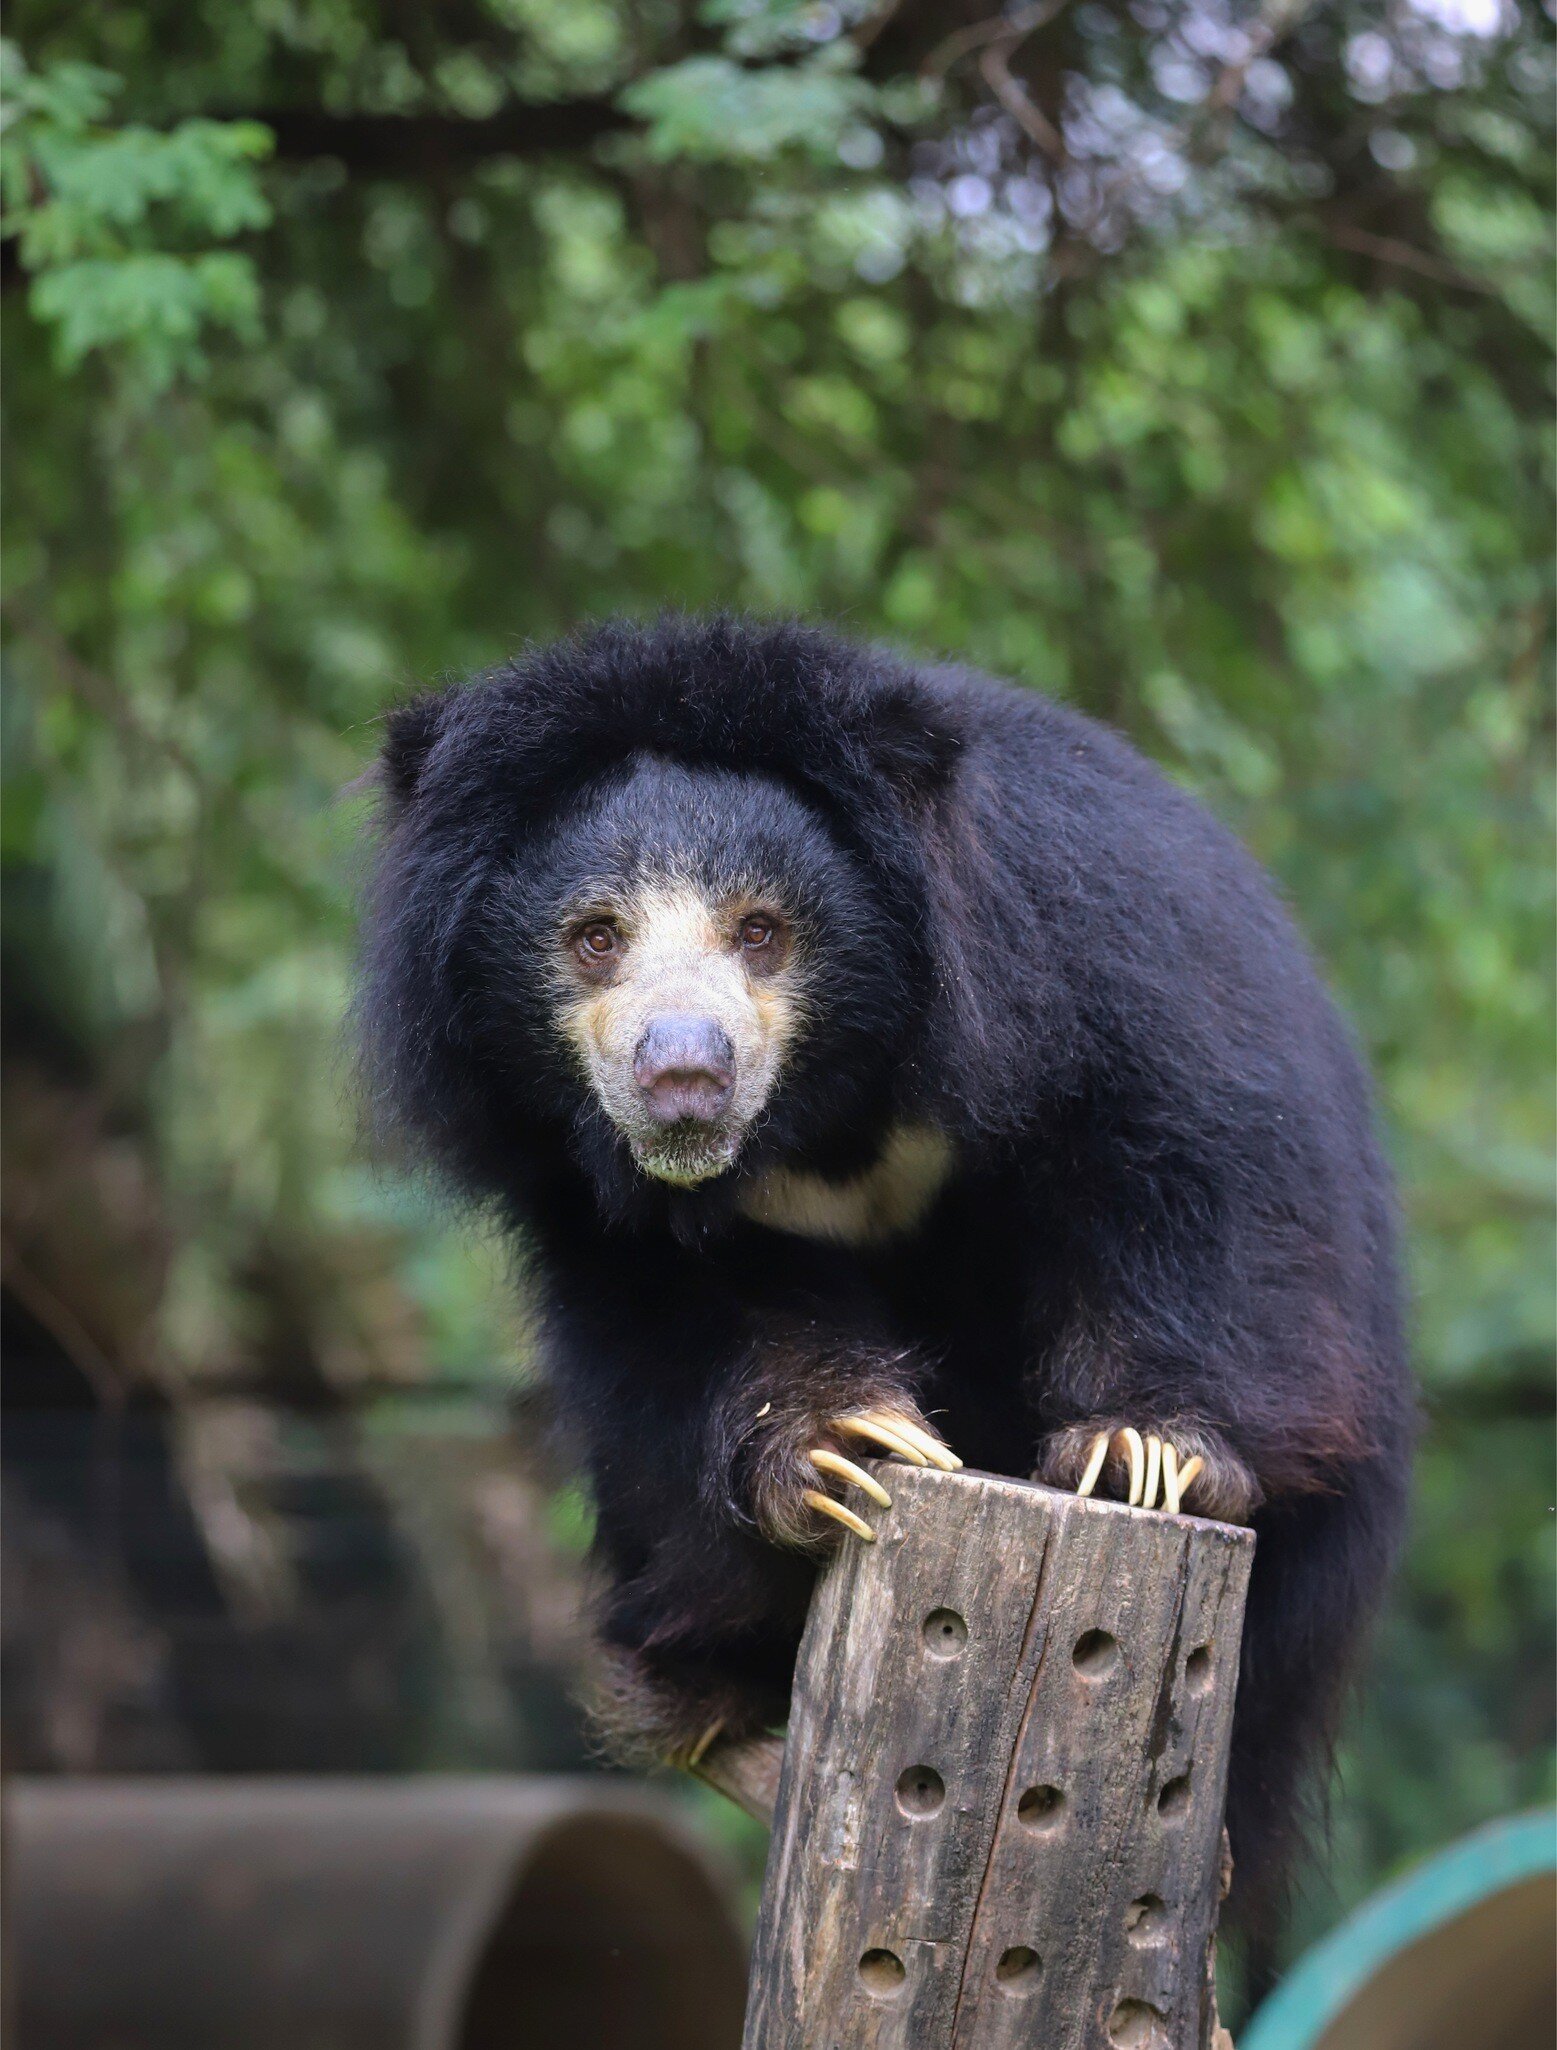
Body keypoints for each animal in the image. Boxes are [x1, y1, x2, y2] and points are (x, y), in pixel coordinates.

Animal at [358, 613, 1412, 1947]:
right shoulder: (589, 1189)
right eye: (593, 936)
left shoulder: (1099, 954)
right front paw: (842, 1448)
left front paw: (1144, 1452)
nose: (683, 1078)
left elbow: (1194, 1177)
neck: (827, 1115)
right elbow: (681, 1320)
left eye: (763, 929)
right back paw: (689, 1683)